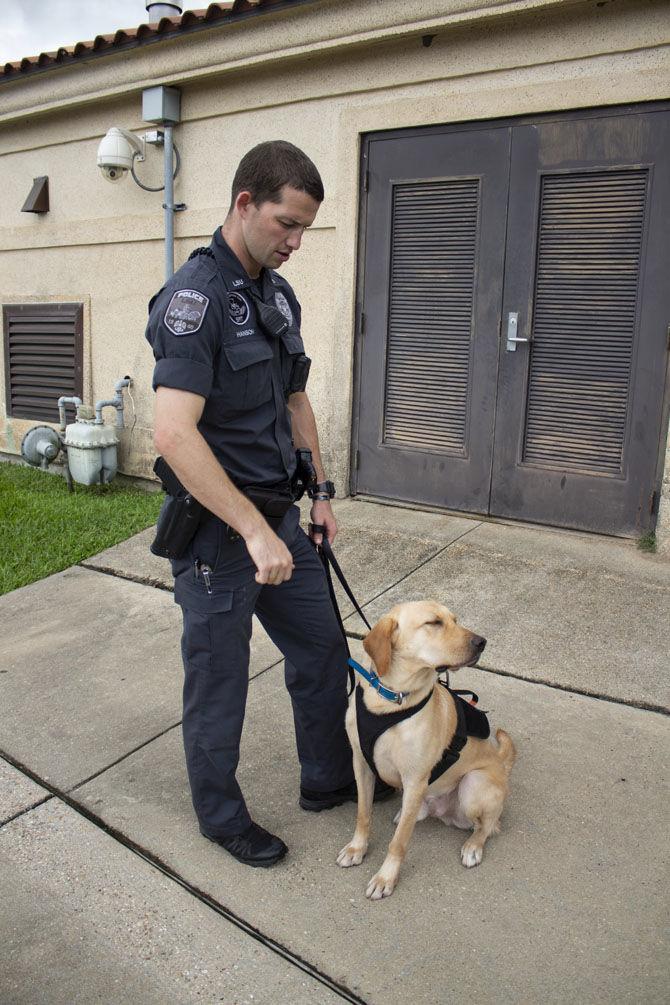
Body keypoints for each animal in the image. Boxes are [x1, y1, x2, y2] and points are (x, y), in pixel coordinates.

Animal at [337, 598, 518, 900]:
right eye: (434, 622)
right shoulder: (361, 764)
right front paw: (357, 848)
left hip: (473, 784)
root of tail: (502, 768)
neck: (391, 702)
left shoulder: (415, 779)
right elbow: (363, 814)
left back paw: (473, 846)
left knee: (488, 826)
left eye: (455, 620)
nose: (482, 642)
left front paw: (386, 878)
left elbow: (398, 843)